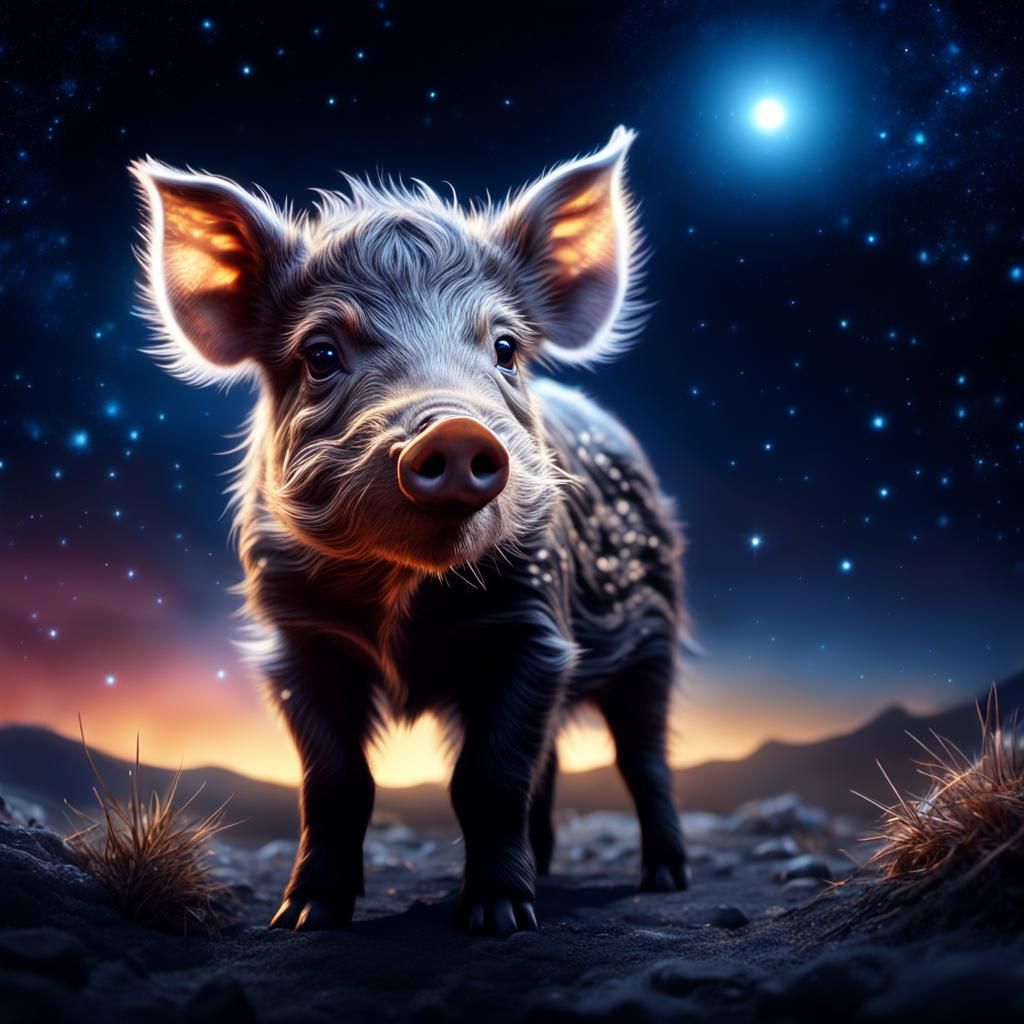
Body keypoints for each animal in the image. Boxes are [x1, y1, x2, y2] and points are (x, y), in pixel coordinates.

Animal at [130, 127, 690, 936]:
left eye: (505, 348)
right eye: (320, 354)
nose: (454, 431)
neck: (401, 598)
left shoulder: (535, 627)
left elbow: (488, 776)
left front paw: (497, 920)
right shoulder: (296, 641)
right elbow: (336, 781)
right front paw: (302, 916)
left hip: (655, 636)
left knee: (642, 756)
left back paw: (665, 880)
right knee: (552, 760)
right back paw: (552, 873)